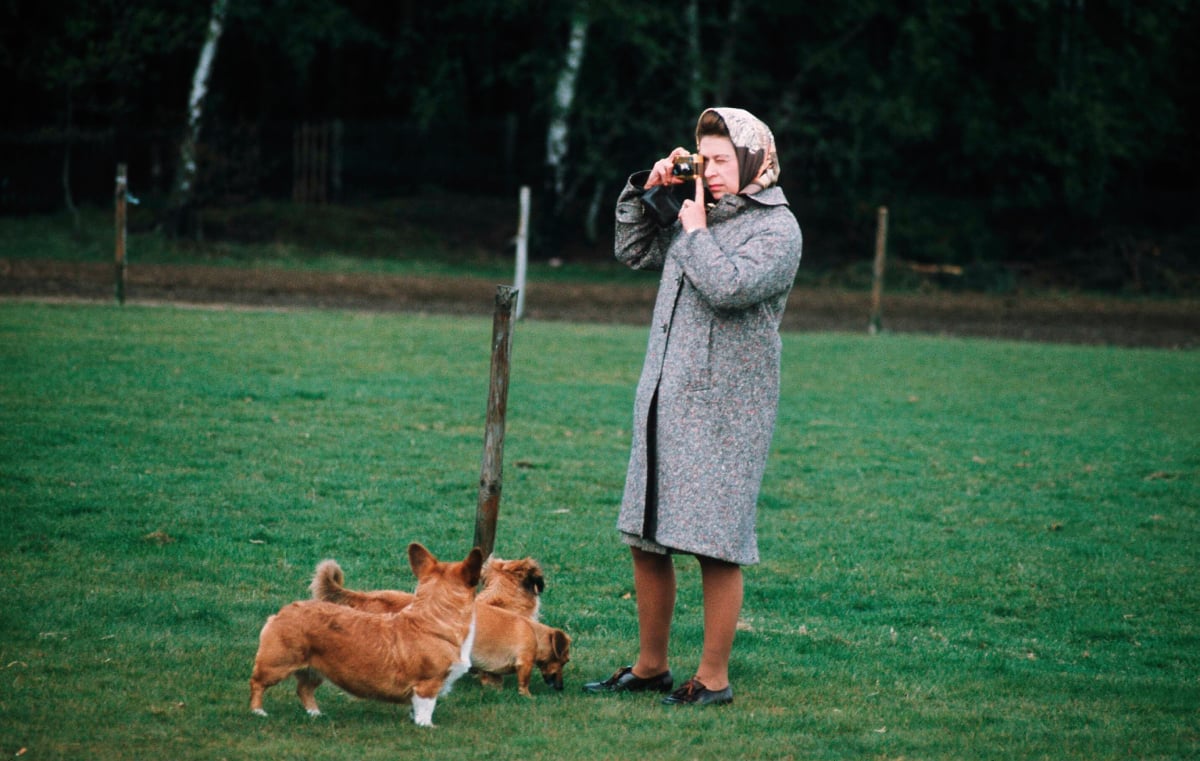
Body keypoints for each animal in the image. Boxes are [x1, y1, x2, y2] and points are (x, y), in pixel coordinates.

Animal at [248, 540, 482, 724]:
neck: (435, 618)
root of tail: (281, 613)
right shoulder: (427, 685)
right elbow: (426, 709)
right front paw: (426, 726)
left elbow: (414, 709)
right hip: (277, 664)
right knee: (257, 683)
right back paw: (258, 712)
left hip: (315, 669)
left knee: (304, 690)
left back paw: (316, 714)